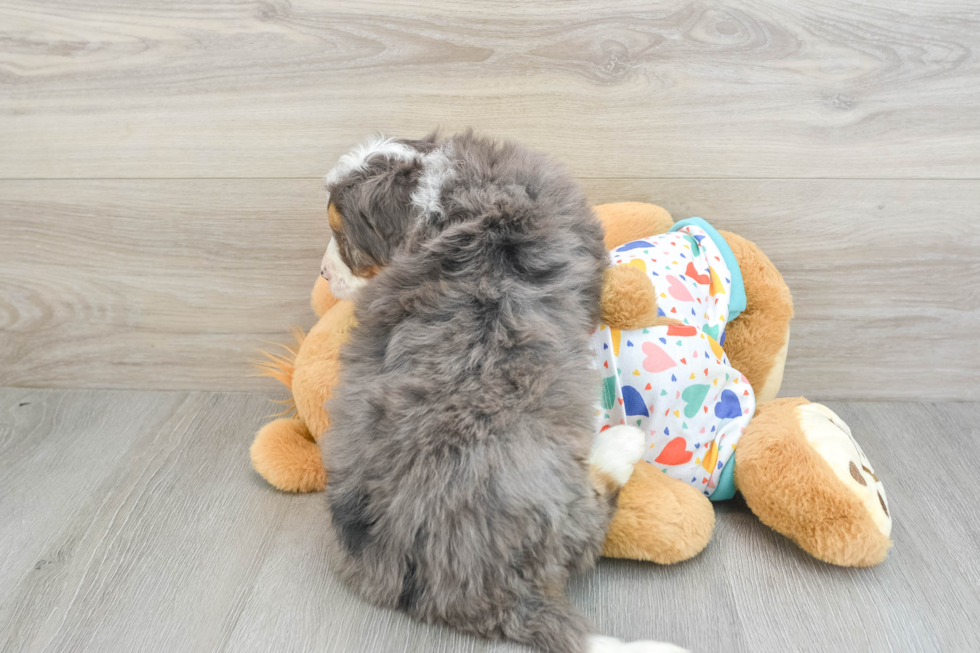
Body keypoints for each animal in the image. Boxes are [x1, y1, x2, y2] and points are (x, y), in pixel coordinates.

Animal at [320, 131, 680, 652]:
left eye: (341, 235)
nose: (323, 275)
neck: (439, 195)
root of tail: (488, 595)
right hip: (559, 499)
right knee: (594, 514)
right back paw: (621, 443)